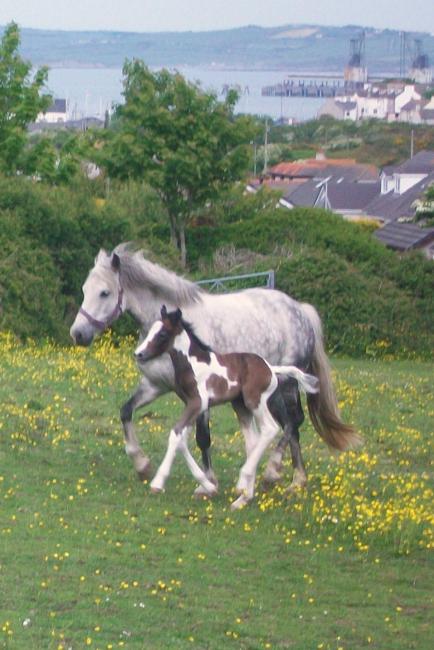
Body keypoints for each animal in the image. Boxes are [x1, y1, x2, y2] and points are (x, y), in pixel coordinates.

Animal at [134, 306, 318, 508]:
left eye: (162, 334)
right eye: (151, 330)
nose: (139, 354)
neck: (193, 364)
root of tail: (270, 368)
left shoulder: (197, 403)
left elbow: (176, 435)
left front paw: (158, 482)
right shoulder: (193, 406)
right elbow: (181, 440)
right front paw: (207, 486)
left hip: (255, 401)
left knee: (270, 429)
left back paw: (245, 483)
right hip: (241, 406)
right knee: (253, 441)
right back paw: (243, 498)